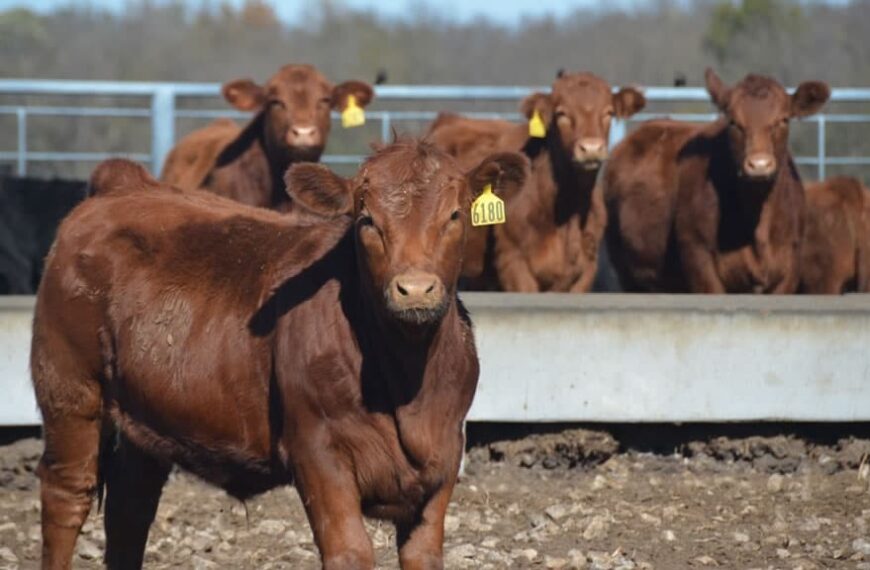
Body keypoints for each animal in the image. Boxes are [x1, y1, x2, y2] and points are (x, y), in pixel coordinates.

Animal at [32, 141, 524, 568]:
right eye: (366, 220)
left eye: (455, 215)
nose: (415, 289)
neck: (408, 385)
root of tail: (122, 184)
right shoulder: (318, 452)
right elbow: (349, 552)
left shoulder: (444, 458)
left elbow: (423, 555)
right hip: (69, 389)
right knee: (67, 494)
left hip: (143, 419)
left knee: (131, 510)